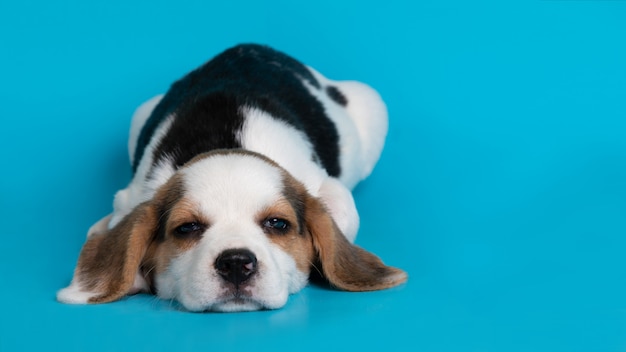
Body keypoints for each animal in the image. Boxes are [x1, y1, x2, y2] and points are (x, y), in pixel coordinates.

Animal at [58, 43, 408, 310]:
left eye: (277, 224)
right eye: (187, 228)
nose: (237, 263)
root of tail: (248, 48)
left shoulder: (330, 190)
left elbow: (341, 217)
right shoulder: (132, 195)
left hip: (372, 105)